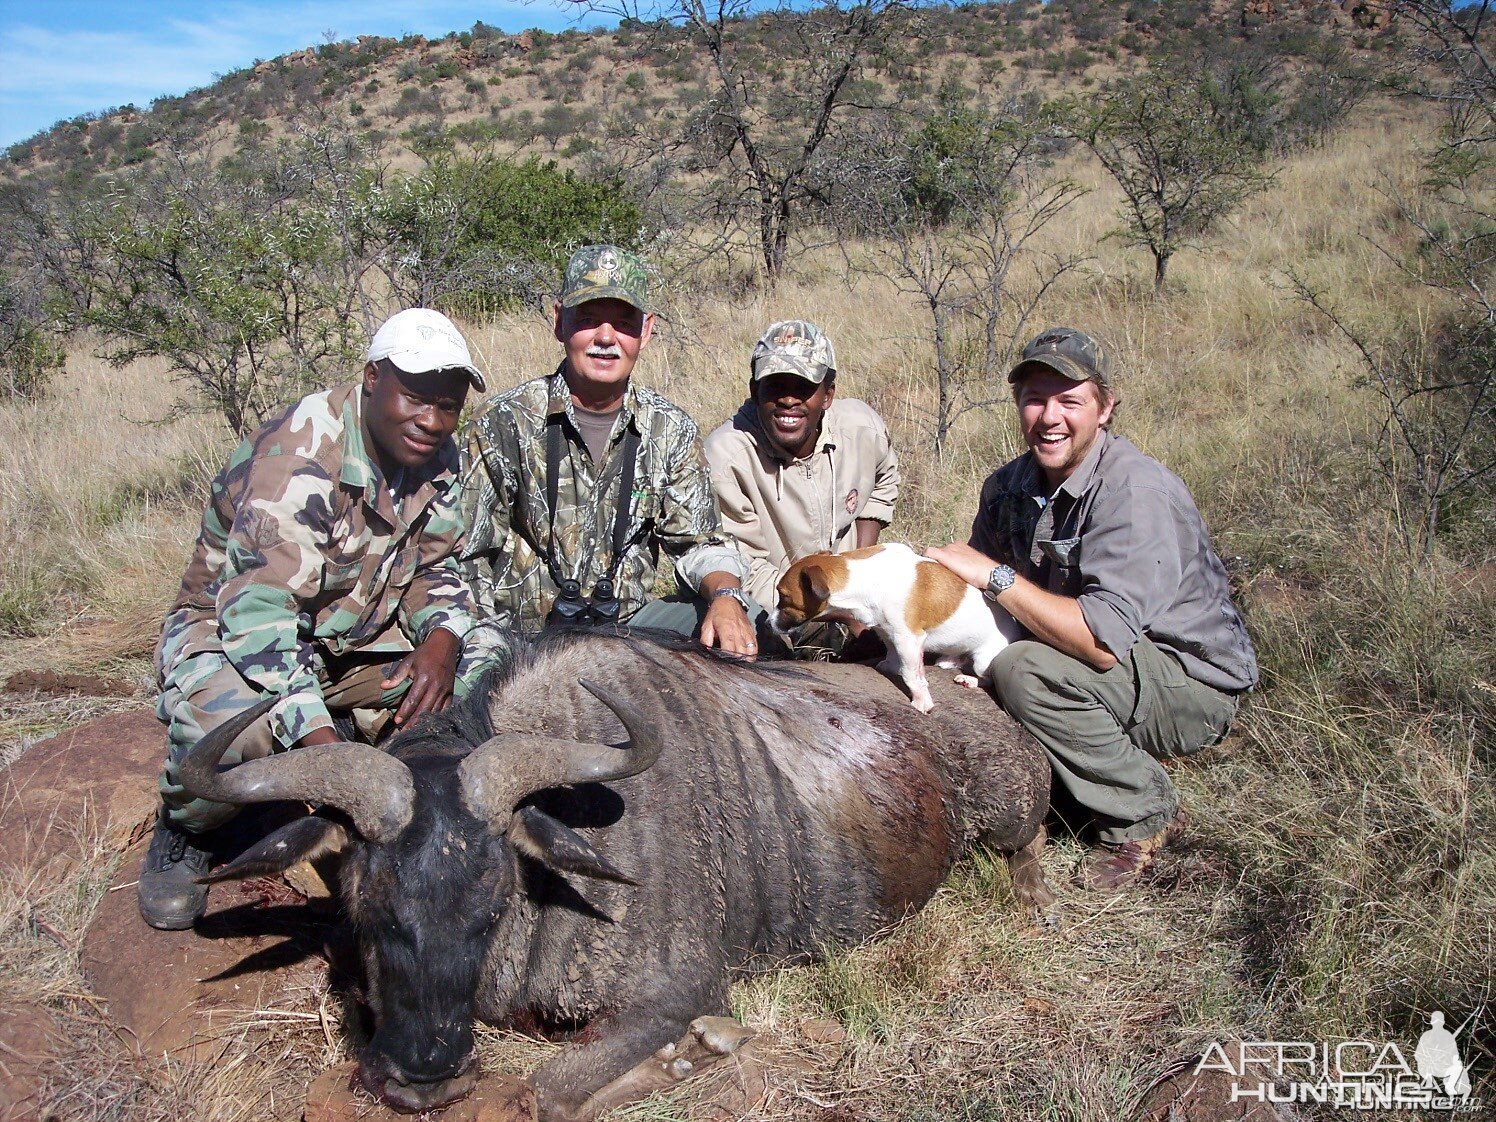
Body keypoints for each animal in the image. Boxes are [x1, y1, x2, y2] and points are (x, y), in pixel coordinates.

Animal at [777, 541, 1023, 712]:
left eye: (783, 597)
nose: (770, 623)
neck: (865, 577)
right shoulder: (887, 630)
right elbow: (892, 653)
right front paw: (890, 664)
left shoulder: (908, 639)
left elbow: (912, 675)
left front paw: (922, 701)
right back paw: (949, 661)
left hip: (983, 661)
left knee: (987, 678)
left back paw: (970, 679)